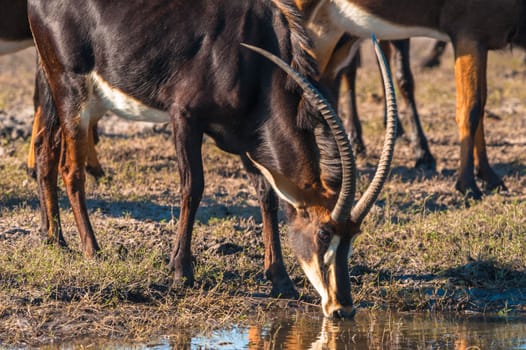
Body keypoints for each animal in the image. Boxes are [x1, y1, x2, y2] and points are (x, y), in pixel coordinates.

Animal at [27, 0, 400, 318]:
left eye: (353, 236)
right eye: (323, 234)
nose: (342, 308)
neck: (253, 56)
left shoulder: (246, 137)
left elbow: (267, 196)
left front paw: (280, 279)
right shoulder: (185, 118)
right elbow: (193, 188)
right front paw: (181, 271)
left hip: (57, 92)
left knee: (46, 150)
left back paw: (54, 239)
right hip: (73, 94)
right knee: (71, 169)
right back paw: (92, 250)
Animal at [296, 0, 526, 198]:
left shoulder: (480, 42)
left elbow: (480, 105)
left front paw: (490, 177)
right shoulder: (468, 35)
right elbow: (471, 108)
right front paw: (468, 185)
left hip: (331, 31)